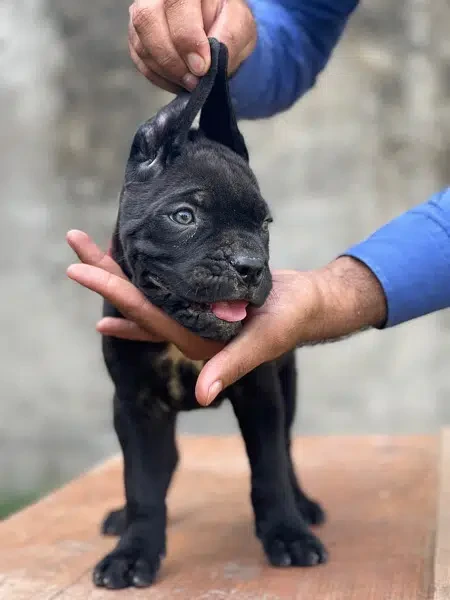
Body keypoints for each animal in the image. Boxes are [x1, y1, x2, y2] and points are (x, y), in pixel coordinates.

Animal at [95, 38, 326, 592]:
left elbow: (269, 468)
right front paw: (133, 550)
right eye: (184, 216)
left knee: (287, 448)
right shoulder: (134, 403)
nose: (249, 266)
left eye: (264, 223)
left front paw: (287, 533)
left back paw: (303, 506)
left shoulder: (261, 391)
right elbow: (141, 482)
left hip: (287, 381)